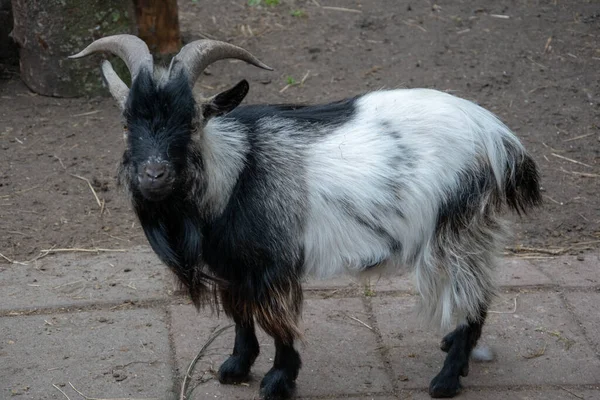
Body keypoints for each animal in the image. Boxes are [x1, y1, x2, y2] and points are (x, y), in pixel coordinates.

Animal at [71, 36, 544, 398]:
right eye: (127, 124)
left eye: (191, 122)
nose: (154, 175)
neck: (236, 173)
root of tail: (499, 136)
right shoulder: (231, 266)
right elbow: (240, 316)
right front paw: (235, 368)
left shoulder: (273, 266)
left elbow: (277, 324)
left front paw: (278, 381)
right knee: (481, 292)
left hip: (458, 229)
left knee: (472, 295)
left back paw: (446, 380)